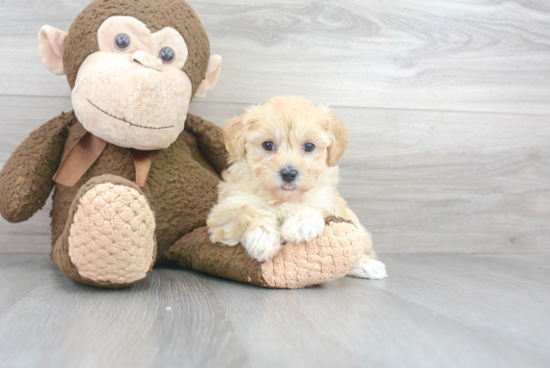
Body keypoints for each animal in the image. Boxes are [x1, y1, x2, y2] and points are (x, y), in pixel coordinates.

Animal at [207, 95, 388, 278]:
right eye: (268, 145)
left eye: (309, 146)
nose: (288, 174)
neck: (283, 198)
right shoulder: (223, 212)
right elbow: (248, 210)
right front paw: (262, 238)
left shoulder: (327, 199)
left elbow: (315, 205)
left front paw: (301, 223)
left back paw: (369, 266)